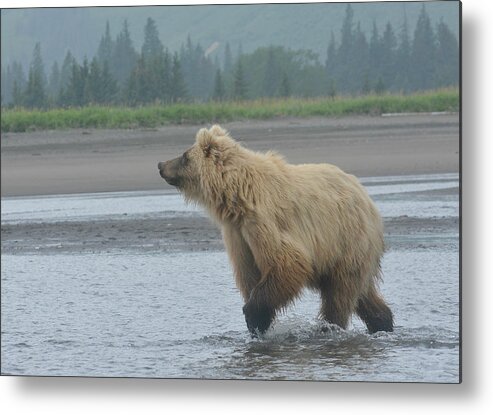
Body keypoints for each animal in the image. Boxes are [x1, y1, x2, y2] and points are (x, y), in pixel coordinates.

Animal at [158, 125, 392, 336]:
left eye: (184, 156)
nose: (161, 164)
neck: (237, 195)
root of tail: (366, 197)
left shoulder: (264, 222)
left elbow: (288, 263)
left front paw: (254, 317)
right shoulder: (239, 235)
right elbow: (250, 274)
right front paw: (259, 322)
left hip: (347, 239)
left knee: (340, 293)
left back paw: (329, 327)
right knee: (362, 293)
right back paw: (383, 322)